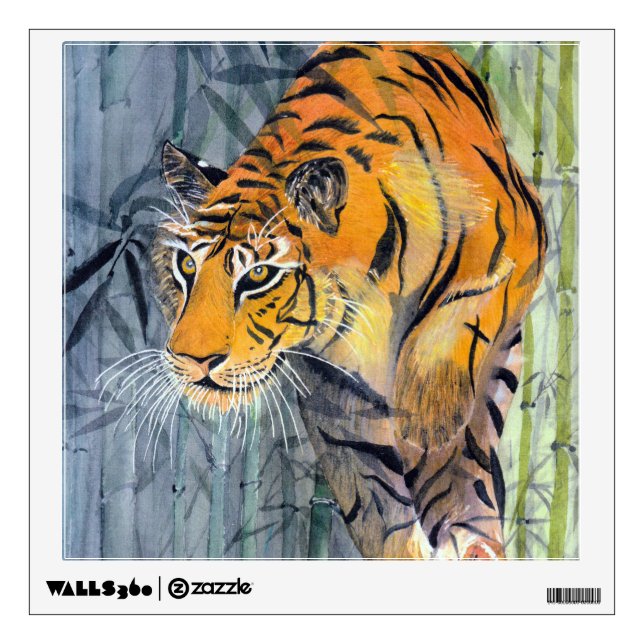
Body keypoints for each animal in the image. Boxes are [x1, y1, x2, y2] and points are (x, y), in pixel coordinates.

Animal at [150, 43, 546, 559]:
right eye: (187, 267)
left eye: (258, 275)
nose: (192, 360)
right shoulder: (338, 397)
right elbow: (378, 508)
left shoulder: (522, 237)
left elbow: (462, 308)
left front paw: (428, 417)